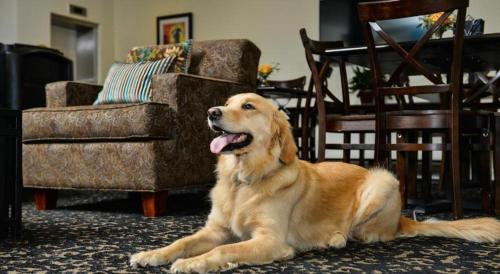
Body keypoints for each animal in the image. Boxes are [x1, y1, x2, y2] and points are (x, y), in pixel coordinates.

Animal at [132, 93, 500, 272]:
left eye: (248, 106)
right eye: (225, 103)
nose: (211, 112)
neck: (243, 179)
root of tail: (402, 219)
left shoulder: (270, 240)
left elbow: (225, 249)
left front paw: (192, 263)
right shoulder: (215, 229)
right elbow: (182, 241)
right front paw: (153, 254)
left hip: (383, 180)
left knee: (363, 233)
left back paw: (334, 238)